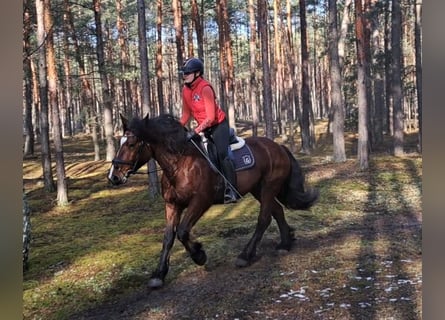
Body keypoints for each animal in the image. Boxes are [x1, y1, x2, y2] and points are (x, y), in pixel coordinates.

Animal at [106, 114, 316, 288]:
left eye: (131, 144)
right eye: (121, 142)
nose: (114, 176)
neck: (179, 164)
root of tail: (278, 147)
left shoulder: (200, 201)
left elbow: (182, 231)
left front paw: (199, 255)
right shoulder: (172, 205)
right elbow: (168, 238)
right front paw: (158, 275)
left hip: (268, 187)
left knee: (264, 219)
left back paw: (245, 255)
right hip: (259, 189)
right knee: (277, 211)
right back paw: (285, 244)